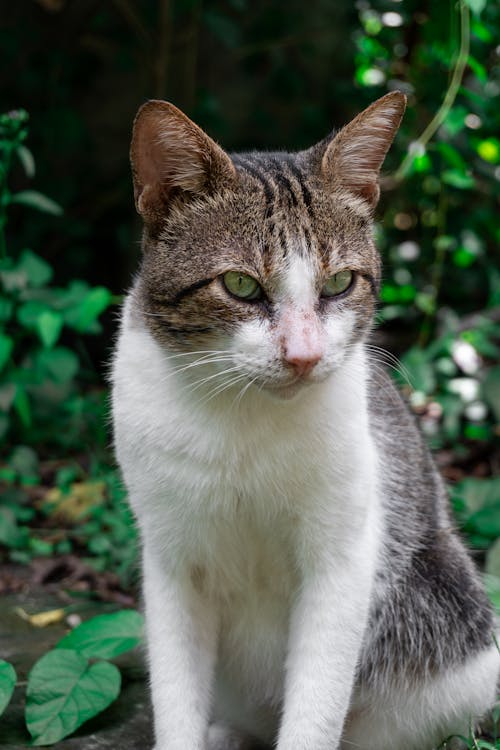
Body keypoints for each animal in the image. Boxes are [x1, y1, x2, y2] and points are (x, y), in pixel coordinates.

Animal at [111, 95, 498, 750]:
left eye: (339, 282)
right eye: (240, 285)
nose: (304, 356)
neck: (243, 416)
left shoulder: (342, 560)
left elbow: (317, 703)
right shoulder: (170, 560)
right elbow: (175, 694)